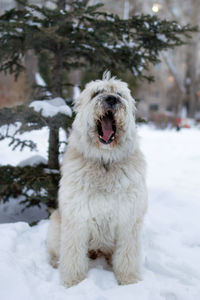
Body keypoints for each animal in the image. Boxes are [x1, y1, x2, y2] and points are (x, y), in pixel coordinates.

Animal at [46, 71, 147, 288]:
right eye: (97, 93)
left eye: (119, 94)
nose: (111, 99)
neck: (105, 162)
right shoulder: (76, 217)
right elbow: (73, 254)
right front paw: (74, 281)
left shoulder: (128, 220)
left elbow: (127, 255)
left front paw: (128, 281)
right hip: (56, 225)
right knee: (57, 251)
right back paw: (55, 262)